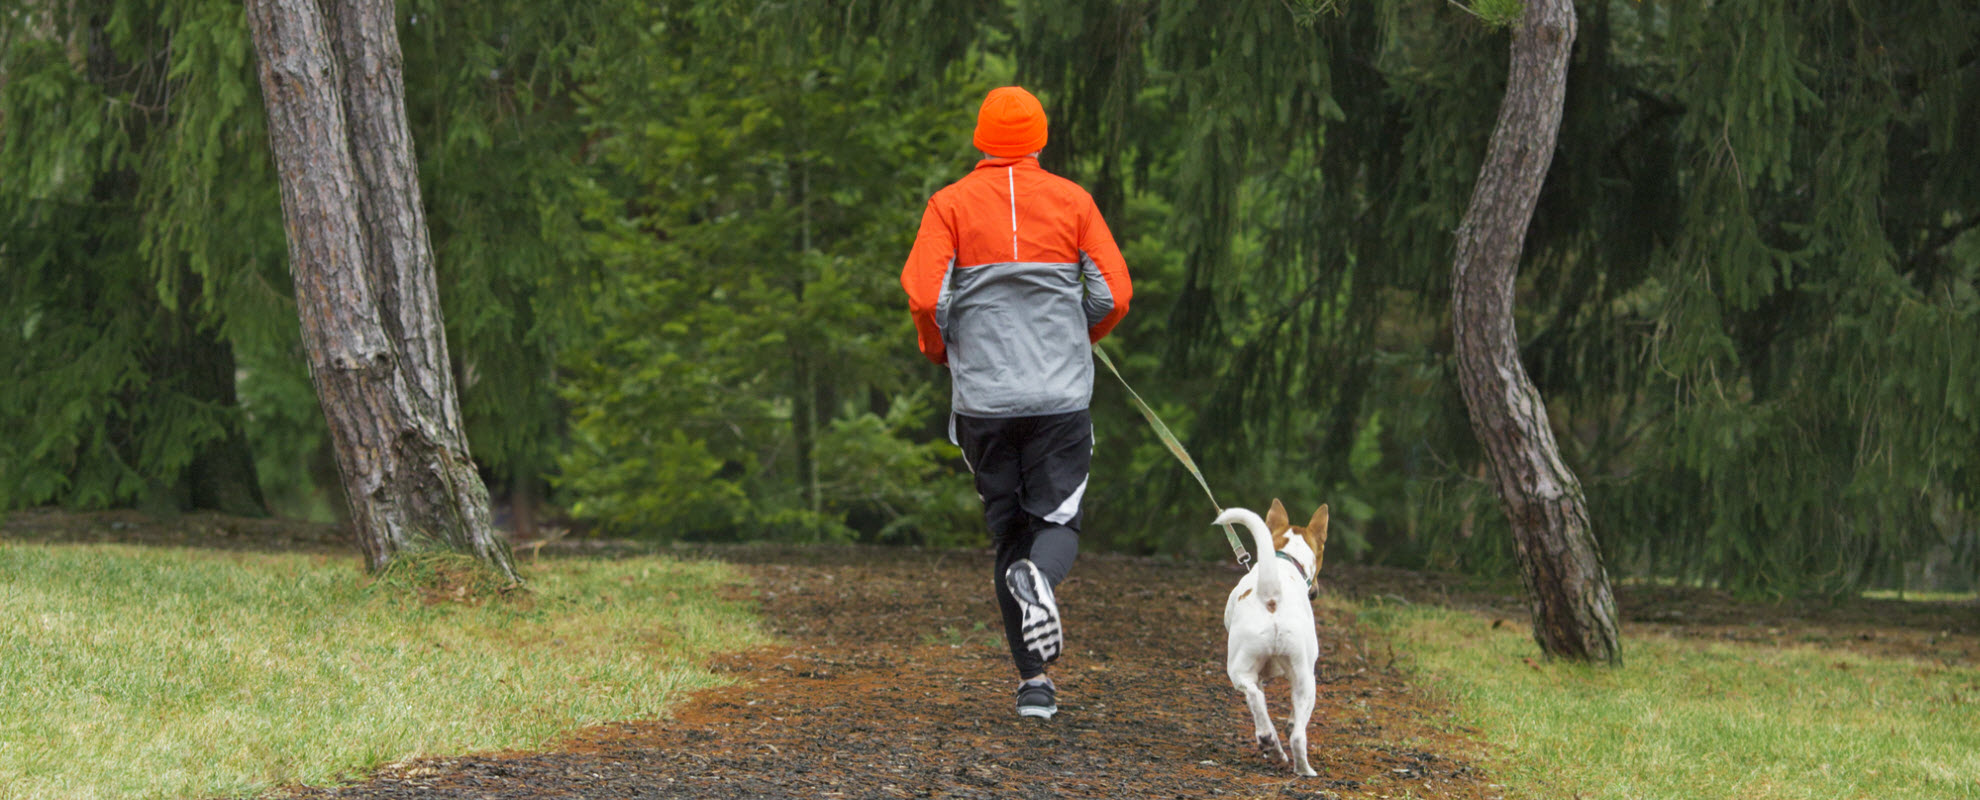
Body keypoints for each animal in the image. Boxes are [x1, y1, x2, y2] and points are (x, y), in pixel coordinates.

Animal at [1203, 499, 1330, 776]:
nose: (1315, 590)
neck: (1284, 559)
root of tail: (1271, 595)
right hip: (1307, 682)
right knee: (1296, 734)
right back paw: (1301, 767)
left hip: (1243, 671)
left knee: (1255, 697)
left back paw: (1271, 744)